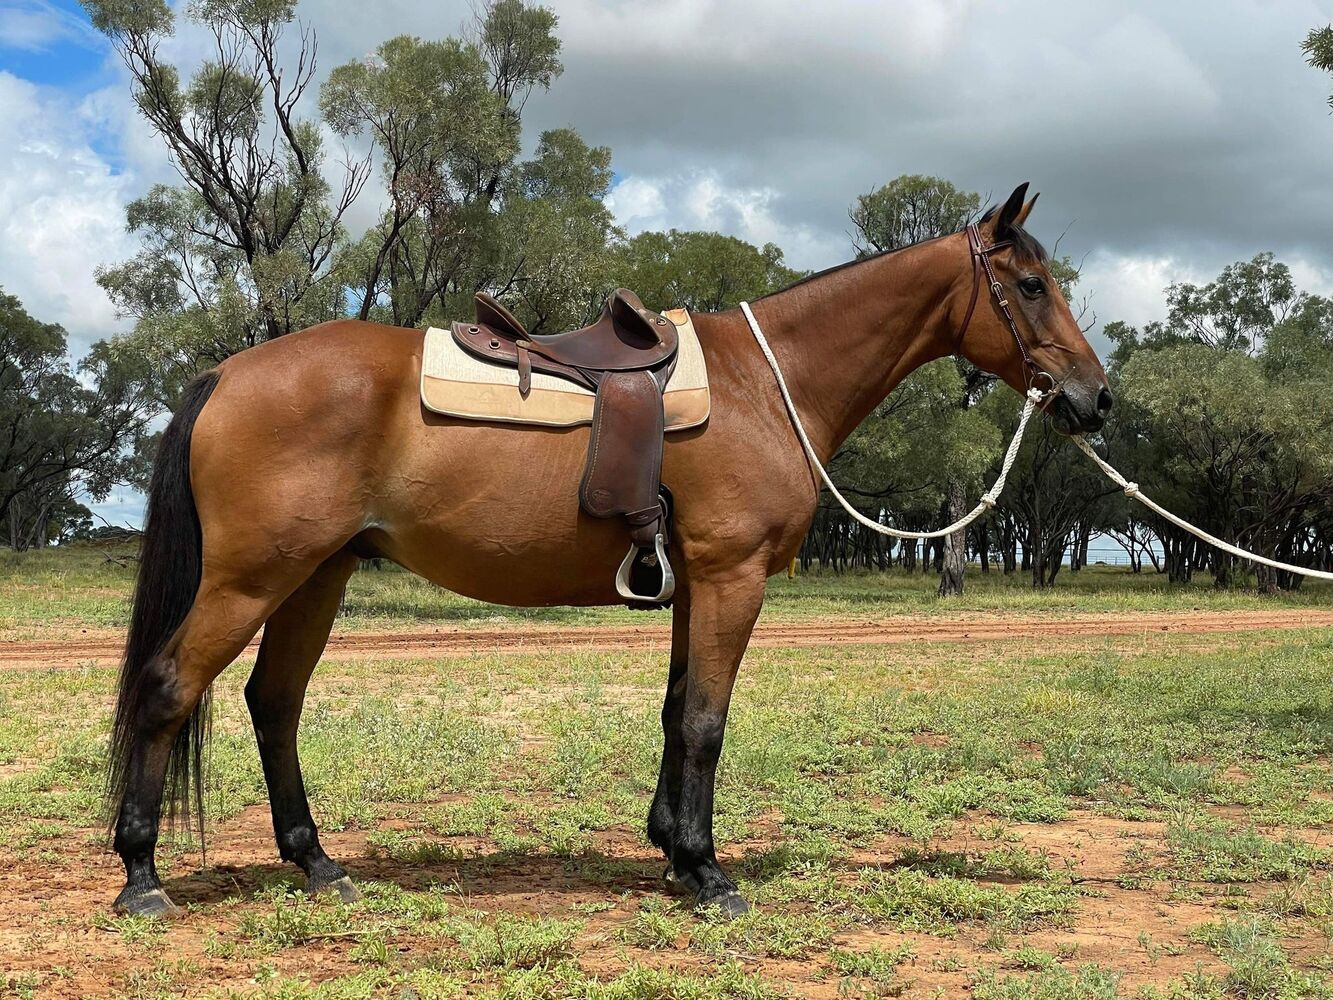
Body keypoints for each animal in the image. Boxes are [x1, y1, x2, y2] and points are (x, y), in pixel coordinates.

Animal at [106, 183, 1112, 918]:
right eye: (1029, 286)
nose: (1094, 399)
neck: (765, 383)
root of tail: (226, 372)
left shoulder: (694, 584)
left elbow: (674, 713)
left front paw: (671, 849)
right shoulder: (732, 578)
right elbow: (705, 722)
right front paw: (707, 873)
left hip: (316, 576)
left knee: (273, 704)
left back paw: (316, 864)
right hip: (252, 579)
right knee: (167, 689)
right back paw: (142, 877)